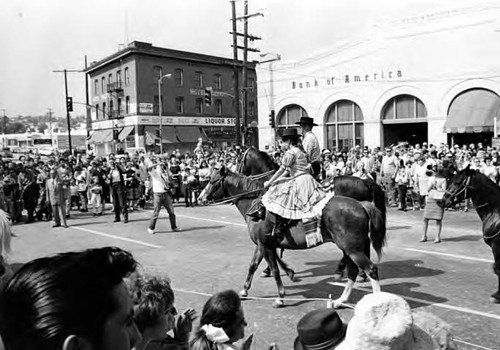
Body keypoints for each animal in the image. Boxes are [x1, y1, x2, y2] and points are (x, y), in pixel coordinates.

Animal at [197, 165, 384, 308]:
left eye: (212, 181)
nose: (200, 198)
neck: (256, 208)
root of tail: (361, 205)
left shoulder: (266, 246)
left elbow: (275, 270)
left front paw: (281, 296)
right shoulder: (261, 244)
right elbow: (253, 265)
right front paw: (244, 290)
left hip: (353, 249)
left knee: (371, 270)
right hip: (350, 249)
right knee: (353, 271)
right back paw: (339, 300)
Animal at [442, 165, 500, 302]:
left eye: (458, 182)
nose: (443, 200)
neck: (495, 212)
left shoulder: (496, 246)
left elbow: (498, 269)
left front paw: (498, 295)